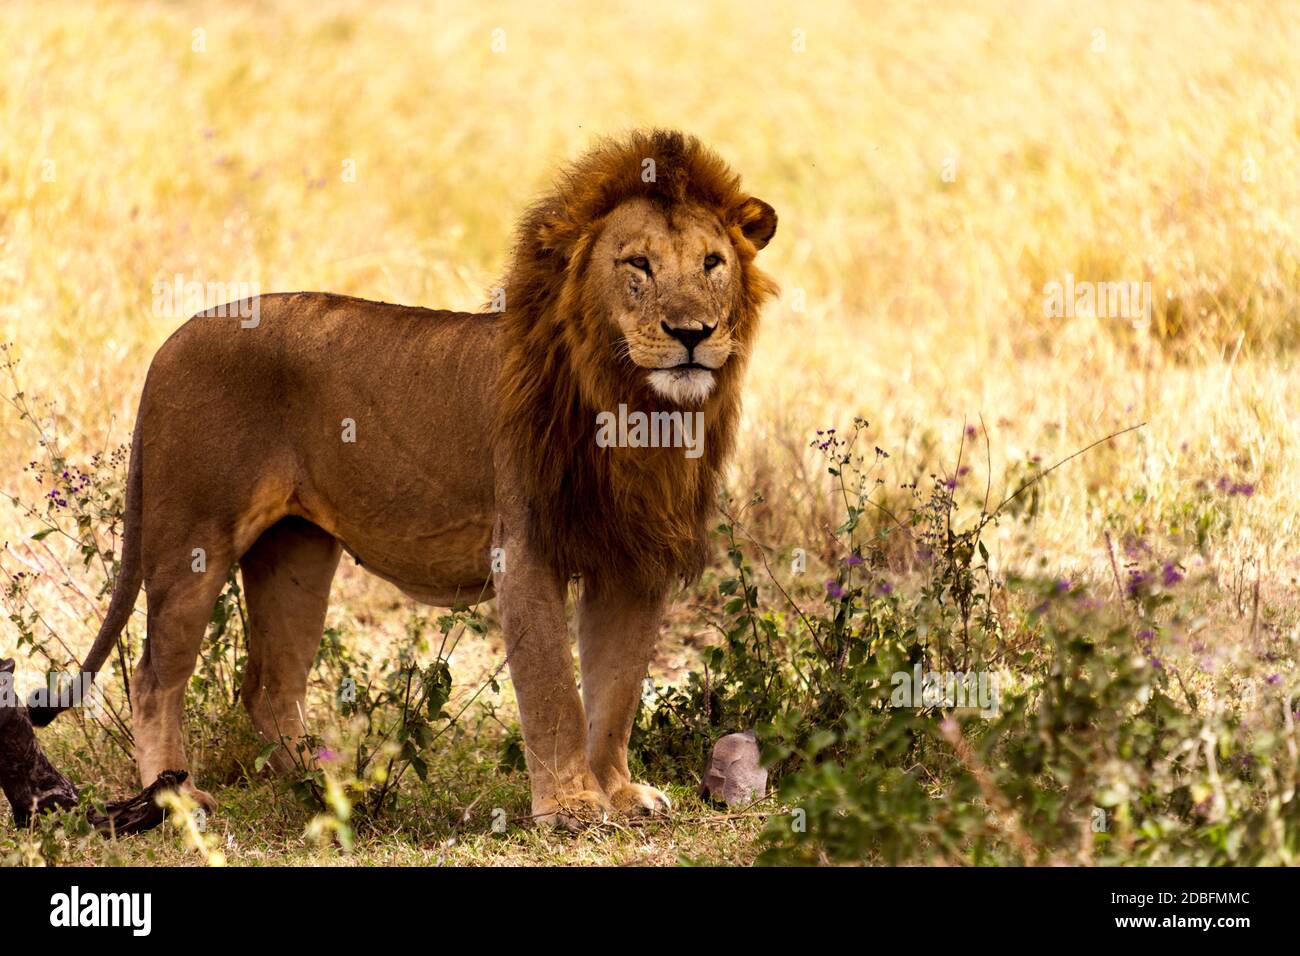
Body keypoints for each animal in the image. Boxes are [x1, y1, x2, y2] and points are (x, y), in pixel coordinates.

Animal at [32, 128, 780, 832]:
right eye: (638, 265)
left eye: (712, 264)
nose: (693, 332)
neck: (635, 409)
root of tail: (171, 339)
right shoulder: (525, 548)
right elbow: (555, 690)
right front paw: (570, 807)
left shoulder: (634, 559)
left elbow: (617, 688)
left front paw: (619, 793)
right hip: (192, 535)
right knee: (154, 676)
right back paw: (178, 801)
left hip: (295, 551)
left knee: (269, 686)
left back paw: (329, 788)